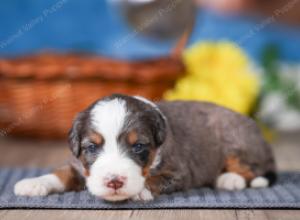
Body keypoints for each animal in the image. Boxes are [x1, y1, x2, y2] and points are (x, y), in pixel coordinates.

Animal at [14, 93, 276, 201]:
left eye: (138, 146)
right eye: (91, 147)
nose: (114, 182)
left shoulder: (179, 172)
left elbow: (155, 178)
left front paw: (139, 190)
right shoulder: (79, 165)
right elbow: (62, 172)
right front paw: (33, 183)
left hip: (237, 142)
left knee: (254, 170)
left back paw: (229, 179)